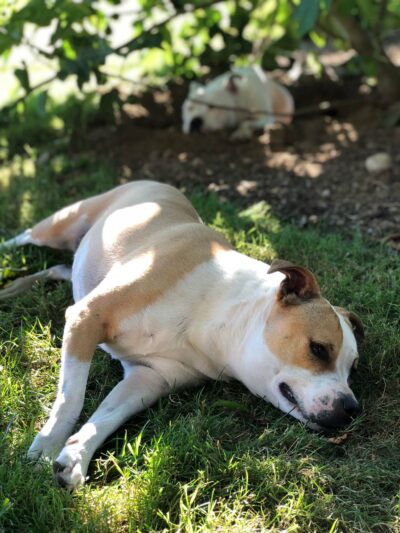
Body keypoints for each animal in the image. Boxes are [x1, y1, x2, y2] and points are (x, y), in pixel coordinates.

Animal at [0, 181, 362, 488]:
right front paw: (47, 446)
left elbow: (107, 417)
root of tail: (155, 182)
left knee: (58, 268)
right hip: (59, 226)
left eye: (352, 370)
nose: (351, 408)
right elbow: (71, 399)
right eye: (318, 349)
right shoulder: (86, 318)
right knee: (24, 237)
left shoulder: (148, 379)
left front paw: (75, 457)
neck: (214, 312)